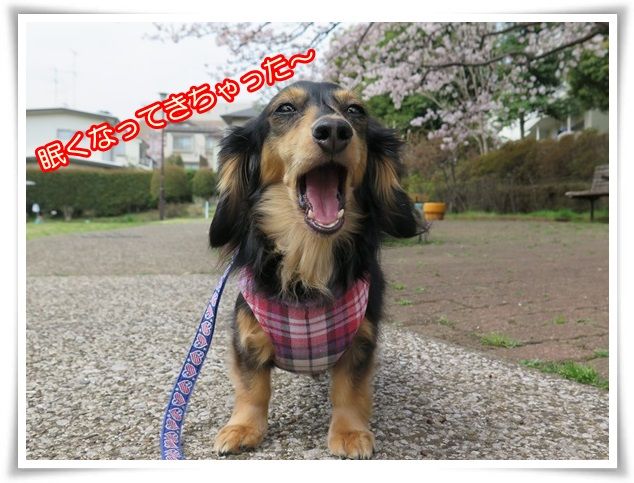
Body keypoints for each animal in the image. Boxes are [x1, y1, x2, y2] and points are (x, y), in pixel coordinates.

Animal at [209, 81, 421, 459]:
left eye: (355, 110)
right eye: (284, 109)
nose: (334, 131)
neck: (308, 255)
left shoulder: (360, 338)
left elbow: (349, 390)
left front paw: (350, 432)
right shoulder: (247, 333)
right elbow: (252, 388)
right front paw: (243, 428)